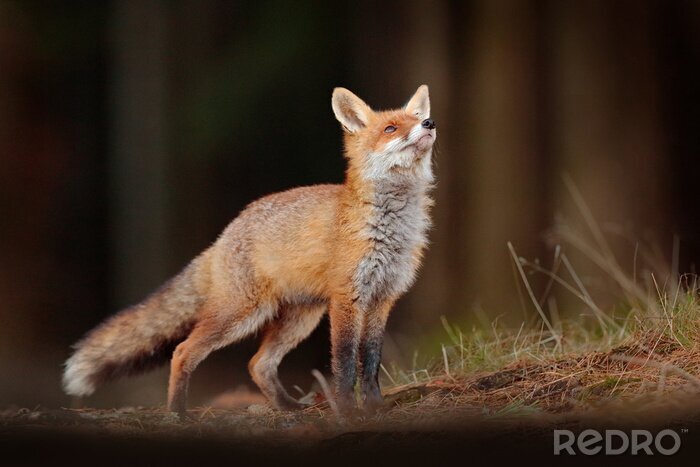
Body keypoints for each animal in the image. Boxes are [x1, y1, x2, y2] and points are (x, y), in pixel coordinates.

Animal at [63, 85, 436, 416]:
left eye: (416, 118)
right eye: (390, 128)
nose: (429, 123)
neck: (390, 228)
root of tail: (225, 234)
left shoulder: (382, 298)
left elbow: (371, 361)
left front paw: (375, 408)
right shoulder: (348, 297)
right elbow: (345, 363)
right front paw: (347, 411)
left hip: (299, 318)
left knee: (258, 364)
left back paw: (287, 408)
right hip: (242, 314)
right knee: (183, 352)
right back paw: (178, 413)